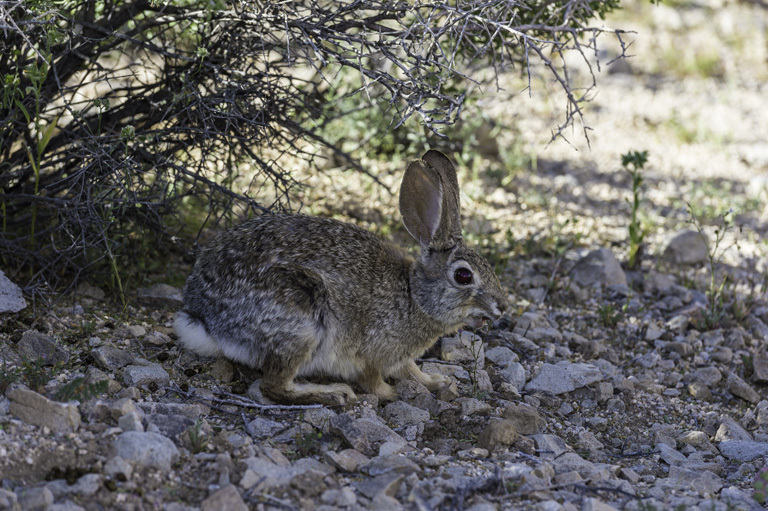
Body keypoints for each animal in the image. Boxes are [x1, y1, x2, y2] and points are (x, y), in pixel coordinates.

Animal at [175, 150, 510, 406]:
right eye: (463, 276)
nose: (503, 307)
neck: (414, 296)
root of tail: (205, 318)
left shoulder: (401, 358)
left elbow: (411, 370)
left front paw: (436, 382)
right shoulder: (371, 353)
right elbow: (373, 380)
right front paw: (391, 394)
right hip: (301, 322)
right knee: (272, 386)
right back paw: (334, 394)